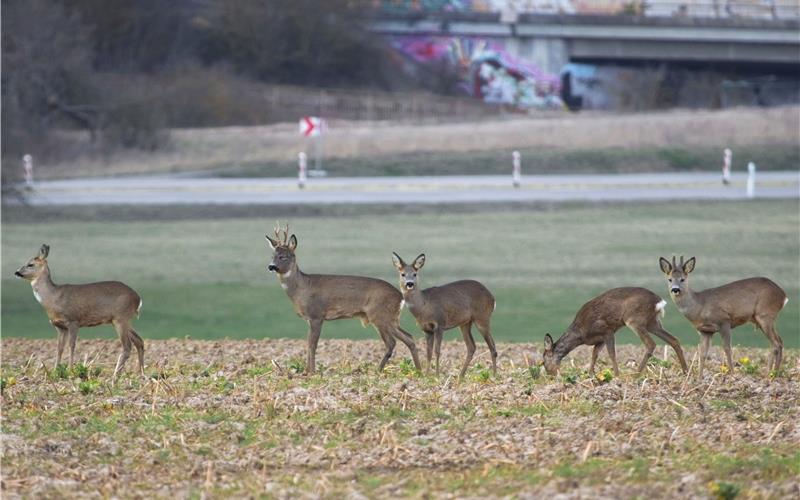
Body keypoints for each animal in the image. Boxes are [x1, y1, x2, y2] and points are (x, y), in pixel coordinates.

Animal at [14, 244, 145, 380]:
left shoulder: (73, 321)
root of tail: (138, 298)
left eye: (30, 264)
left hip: (120, 318)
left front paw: (71, 370)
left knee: (127, 346)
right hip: (123, 320)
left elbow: (72, 345)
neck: (53, 297)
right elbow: (59, 348)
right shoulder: (60, 326)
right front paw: (55, 371)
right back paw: (140, 373)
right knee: (139, 341)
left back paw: (116, 375)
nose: (17, 272)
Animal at [266, 225, 422, 374]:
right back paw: (418, 371)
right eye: (273, 255)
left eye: (285, 256)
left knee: (392, 342)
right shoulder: (309, 319)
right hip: (391, 318)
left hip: (380, 315)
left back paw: (379, 370)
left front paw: (311, 372)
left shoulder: (316, 315)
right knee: (409, 337)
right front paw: (306, 371)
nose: (271, 266)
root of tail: (400, 297)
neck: (301, 288)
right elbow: (308, 343)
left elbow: (312, 345)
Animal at [656, 256, 788, 376]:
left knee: (775, 343)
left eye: (682, 279)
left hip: (765, 314)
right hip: (762, 319)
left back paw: (768, 373)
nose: (675, 289)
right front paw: (699, 377)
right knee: (779, 341)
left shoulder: (724, 321)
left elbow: (727, 348)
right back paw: (775, 373)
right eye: (670, 279)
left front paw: (732, 373)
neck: (700, 306)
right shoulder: (705, 331)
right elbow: (702, 353)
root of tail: (783, 296)